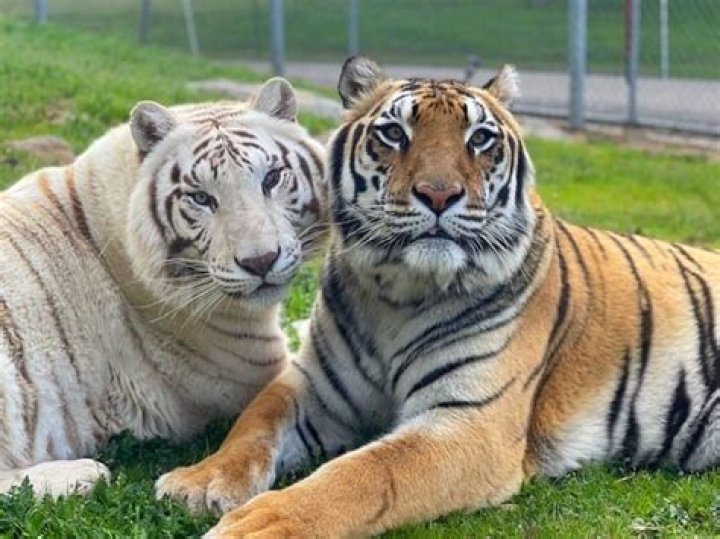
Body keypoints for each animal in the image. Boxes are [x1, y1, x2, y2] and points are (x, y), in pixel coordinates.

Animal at [155, 57, 719, 537]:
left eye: (480, 139)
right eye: (393, 133)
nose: (440, 194)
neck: (396, 296)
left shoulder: (471, 422)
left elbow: (368, 471)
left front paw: (263, 522)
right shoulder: (315, 386)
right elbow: (253, 425)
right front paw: (200, 482)